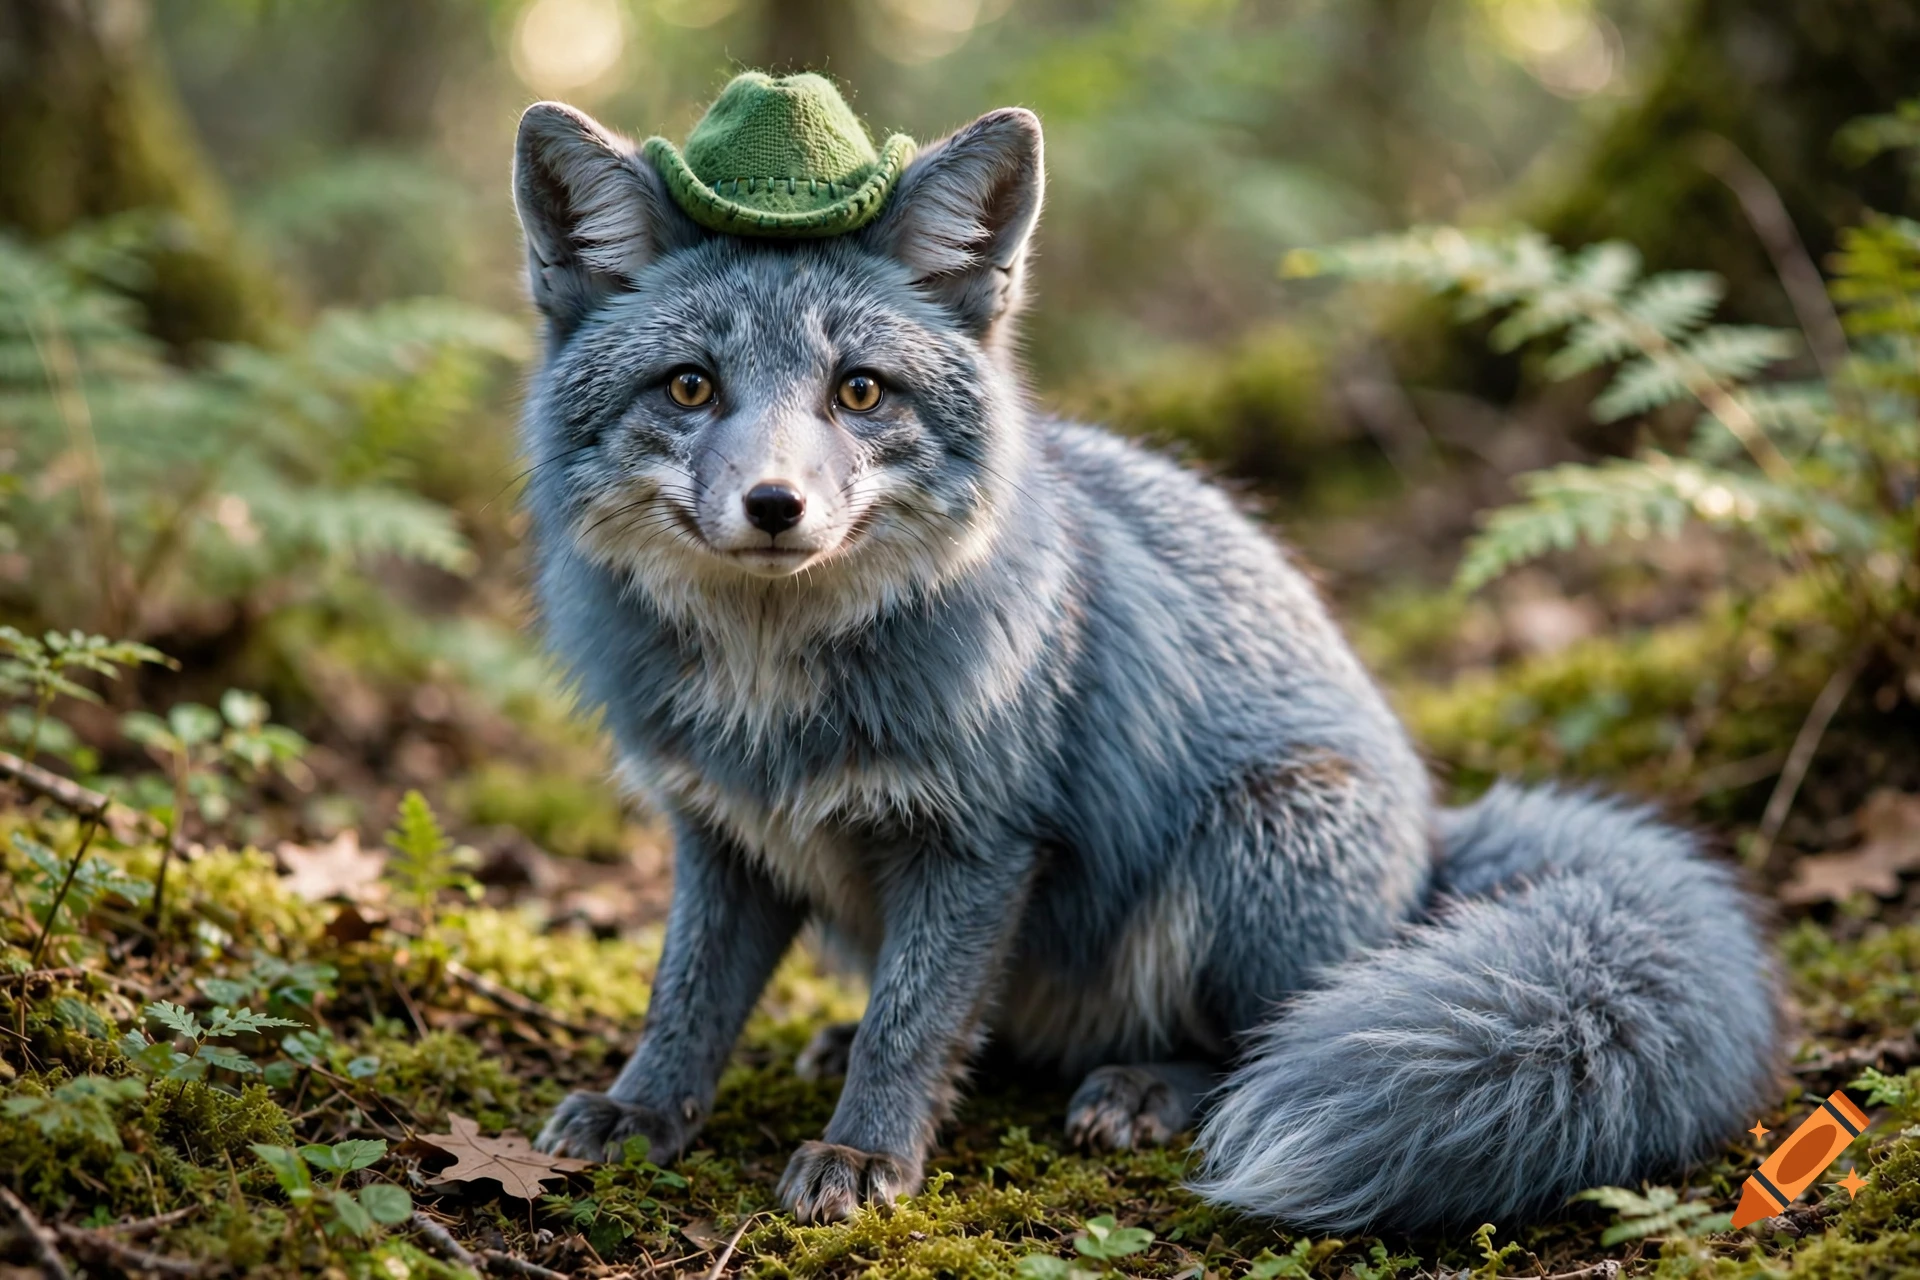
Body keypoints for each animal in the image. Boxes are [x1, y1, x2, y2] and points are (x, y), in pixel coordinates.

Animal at [512, 95, 1781, 1231]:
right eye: (690, 385)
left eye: (858, 390)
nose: (776, 507)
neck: (773, 700)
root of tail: (1434, 842)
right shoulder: (723, 834)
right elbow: (686, 998)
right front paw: (642, 1113)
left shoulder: (980, 842)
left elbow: (910, 1023)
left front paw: (866, 1152)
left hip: (1255, 851)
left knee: (1272, 1039)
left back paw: (1147, 1090)